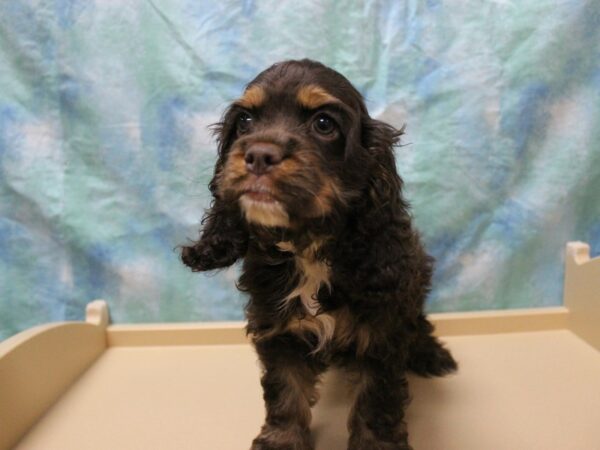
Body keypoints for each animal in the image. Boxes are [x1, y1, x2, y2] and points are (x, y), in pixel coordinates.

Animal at [180, 59, 458, 450]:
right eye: (245, 121)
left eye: (324, 123)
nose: (258, 155)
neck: (308, 250)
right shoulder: (279, 330)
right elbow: (285, 391)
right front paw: (280, 441)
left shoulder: (381, 335)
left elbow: (376, 403)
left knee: (418, 323)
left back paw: (432, 354)